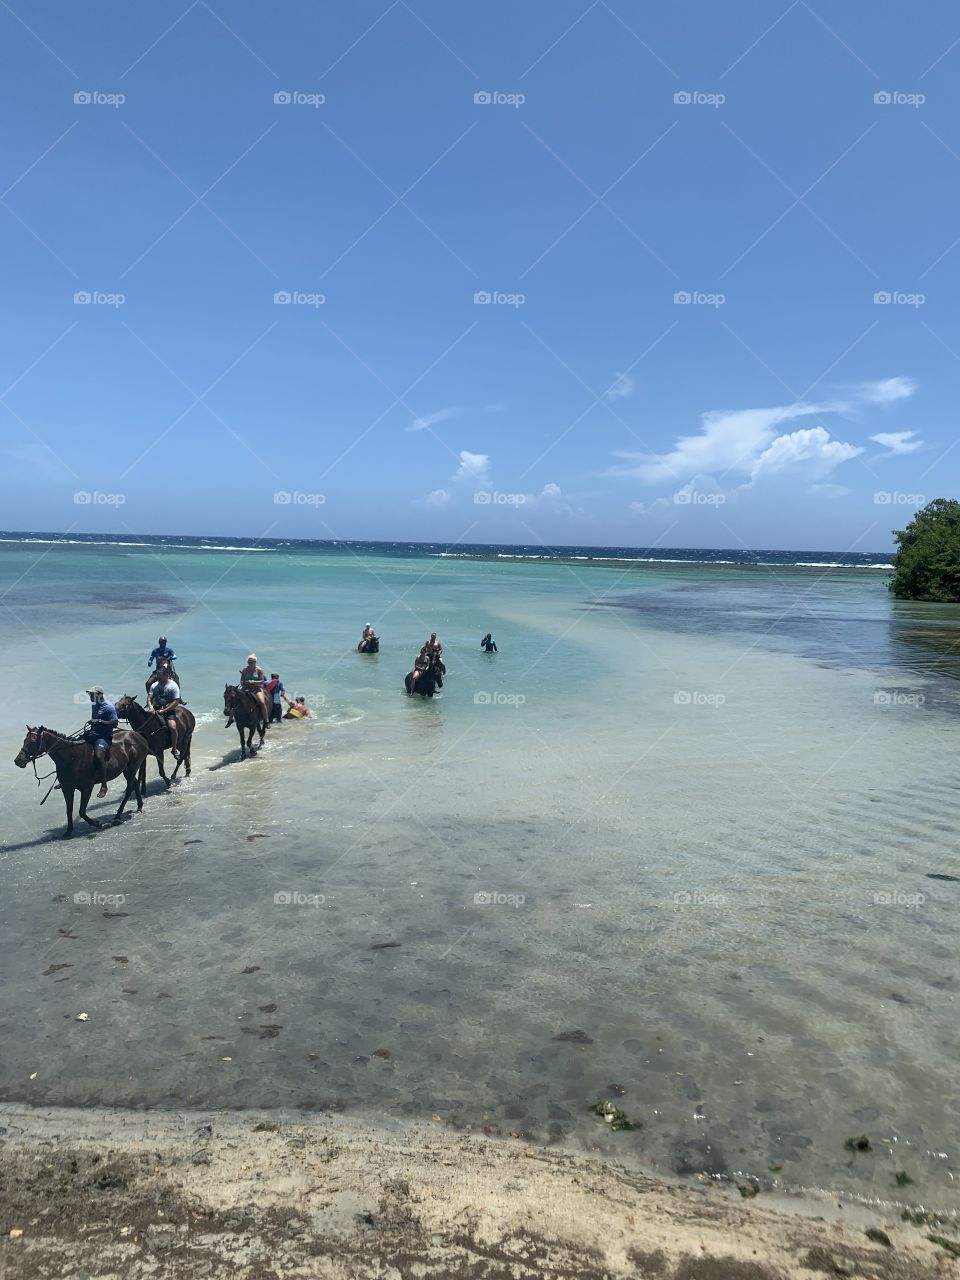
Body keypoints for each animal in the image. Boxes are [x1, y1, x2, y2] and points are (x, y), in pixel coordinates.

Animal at [13, 725, 149, 838]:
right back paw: (139, 806)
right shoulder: (67, 788)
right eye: (24, 740)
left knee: (129, 788)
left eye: (32, 741)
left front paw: (98, 824)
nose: (18, 760)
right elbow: (69, 810)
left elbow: (82, 812)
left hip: (132, 767)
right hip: (126, 770)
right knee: (135, 783)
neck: (71, 757)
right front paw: (68, 831)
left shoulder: (86, 788)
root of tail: (138, 735)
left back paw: (117, 816)